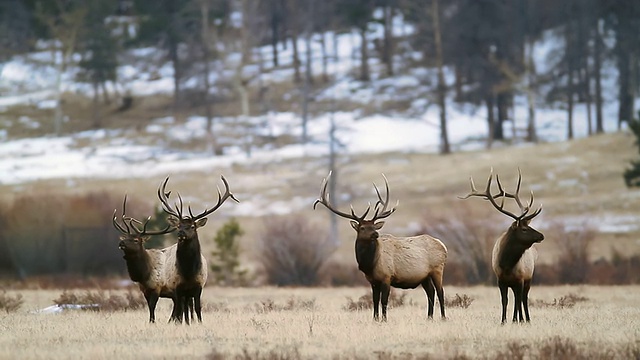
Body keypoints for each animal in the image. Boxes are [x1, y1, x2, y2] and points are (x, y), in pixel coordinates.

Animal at [158, 176, 240, 324]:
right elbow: (180, 309)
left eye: (192, 226)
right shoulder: (177, 286)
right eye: (178, 225)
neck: (188, 272)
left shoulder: (198, 286)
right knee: (183, 308)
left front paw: (200, 323)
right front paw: (183, 323)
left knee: (187, 307)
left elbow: (197, 308)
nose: (180, 233)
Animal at [314, 173, 444, 322]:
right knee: (431, 292)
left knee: (440, 292)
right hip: (424, 276)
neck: (370, 264)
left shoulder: (387, 277)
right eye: (363, 228)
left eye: (374, 226)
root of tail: (443, 245)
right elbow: (375, 300)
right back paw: (429, 317)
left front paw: (384, 319)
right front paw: (375, 319)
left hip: (437, 269)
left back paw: (443, 317)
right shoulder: (372, 281)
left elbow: (384, 301)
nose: (376, 234)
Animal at [460, 168, 544, 324]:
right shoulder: (500, 280)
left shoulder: (520, 279)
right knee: (519, 298)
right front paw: (504, 320)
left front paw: (517, 320)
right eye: (524, 229)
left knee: (523, 298)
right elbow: (504, 301)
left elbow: (518, 301)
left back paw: (526, 319)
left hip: (529, 277)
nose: (542, 235)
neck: (507, 264)